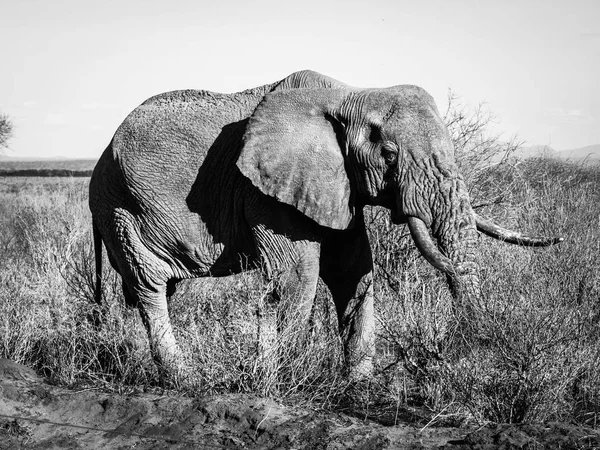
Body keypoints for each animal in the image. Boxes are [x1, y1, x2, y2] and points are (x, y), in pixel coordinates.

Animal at [90, 70, 564, 378]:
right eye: (389, 154)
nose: (453, 352)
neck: (350, 93)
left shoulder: (336, 186)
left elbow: (353, 268)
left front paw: (361, 386)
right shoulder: (266, 191)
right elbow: (298, 276)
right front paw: (280, 382)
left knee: (149, 289)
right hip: (120, 207)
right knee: (150, 287)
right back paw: (182, 380)